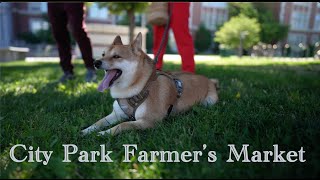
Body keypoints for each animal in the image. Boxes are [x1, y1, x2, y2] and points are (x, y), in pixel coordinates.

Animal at [81, 32, 219, 136]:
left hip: (209, 102)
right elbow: (98, 122)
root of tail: (209, 80)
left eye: (116, 56)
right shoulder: (116, 114)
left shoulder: (148, 121)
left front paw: (103, 134)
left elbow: (122, 125)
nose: (96, 62)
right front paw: (86, 131)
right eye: (103, 54)